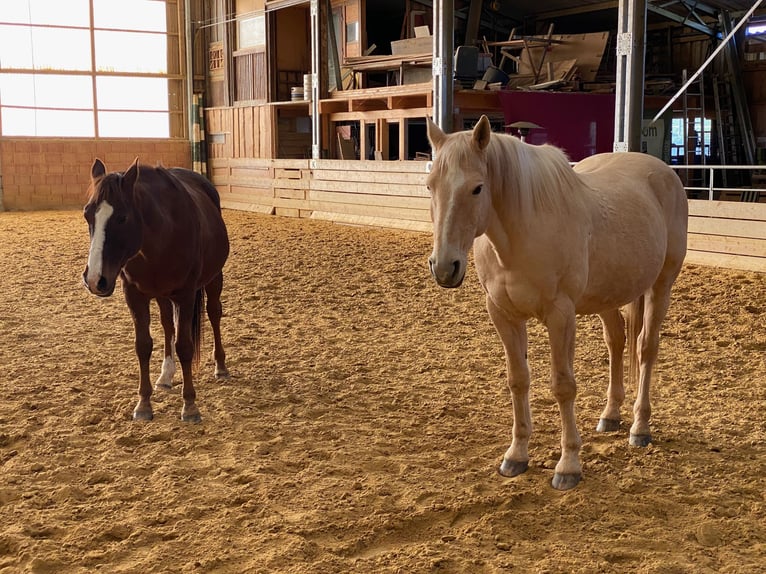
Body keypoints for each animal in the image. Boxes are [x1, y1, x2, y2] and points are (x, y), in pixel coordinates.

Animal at [83, 160, 231, 426]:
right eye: (87, 214)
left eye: (122, 218)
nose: (94, 279)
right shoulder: (134, 295)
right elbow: (143, 345)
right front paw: (143, 404)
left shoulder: (186, 294)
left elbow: (185, 346)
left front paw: (190, 406)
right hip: (162, 295)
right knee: (167, 325)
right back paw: (165, 375)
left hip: (214, 278)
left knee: (214, 314)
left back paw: (221, 367)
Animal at [426, 116, 688, 490]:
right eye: (430, 186)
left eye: (477, 188)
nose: (445, 267)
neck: (521, 234)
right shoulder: (503, 314)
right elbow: (517, 379)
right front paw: (516, 456)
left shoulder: (560, 315)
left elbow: (563, 387)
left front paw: (568, 465)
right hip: (607, 296)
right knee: (617, 342)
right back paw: (611, 415)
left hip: (660, 286)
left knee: (645, 349)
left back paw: (640, 428)